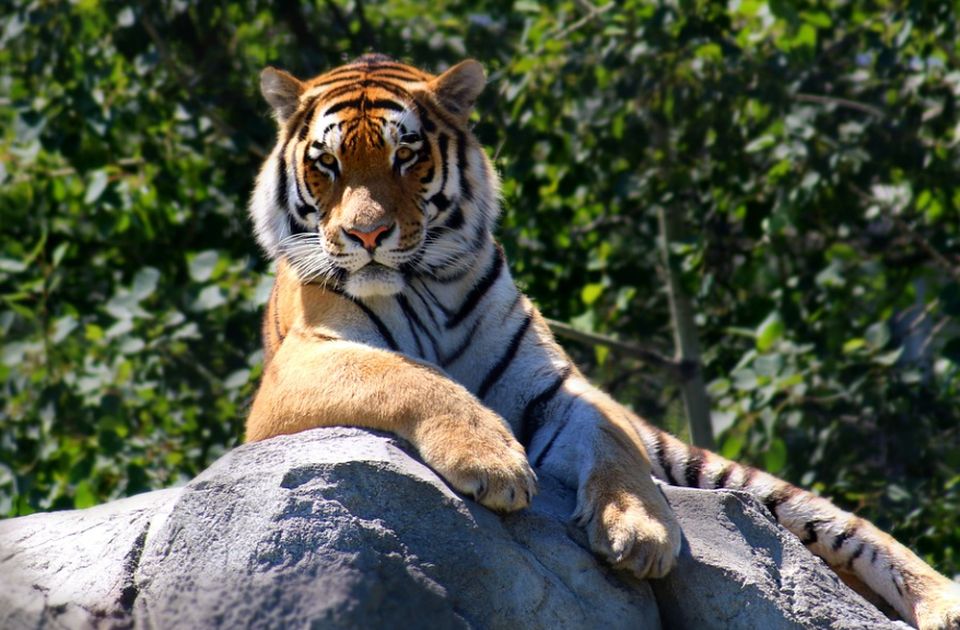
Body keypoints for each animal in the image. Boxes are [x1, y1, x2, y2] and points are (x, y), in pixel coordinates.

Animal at [246, 55, 960, 630]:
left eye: (407, 156)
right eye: (328, 164)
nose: (366, 235)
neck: (427, 286)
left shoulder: (559, 387)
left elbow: (612, 444)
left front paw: (640, 532)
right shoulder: (298, 367)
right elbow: (408, 375)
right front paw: (492, 462)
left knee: (851, 531)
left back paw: (943, 605)